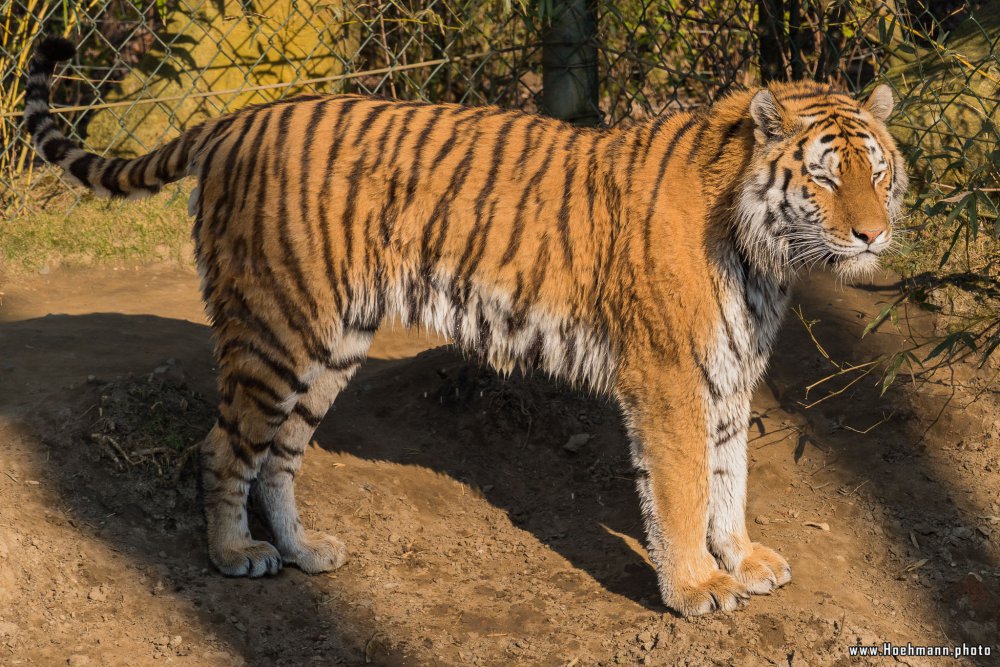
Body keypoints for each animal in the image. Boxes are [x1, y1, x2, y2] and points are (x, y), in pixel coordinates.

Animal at [25, 36, 908, 616]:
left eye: (878, 170)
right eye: (826, 176)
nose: (873, 235)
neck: (766, 255)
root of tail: (242, 118)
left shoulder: (724, 374)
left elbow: (730, 477)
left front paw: (743, 559)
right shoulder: (669, 378)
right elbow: (686, 488)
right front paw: (696, 588)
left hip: (330, 343)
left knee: (278, 454)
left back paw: (305, 551)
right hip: (277, 327)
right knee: (220, 446)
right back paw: (234, 555)